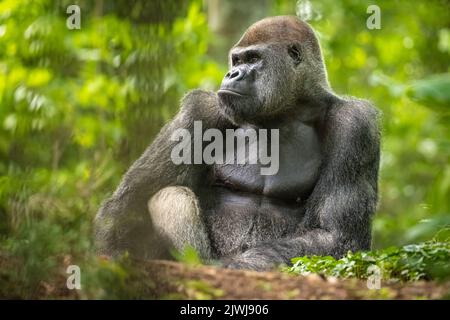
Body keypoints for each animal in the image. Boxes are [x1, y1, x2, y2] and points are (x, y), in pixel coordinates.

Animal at [94, 15, 380, 270]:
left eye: (253, 59)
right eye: (237, 59)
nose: (231, 73)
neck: (287, 111)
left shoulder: (356, 126)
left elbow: (334, 234)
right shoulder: (201, 112)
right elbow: (128, 203)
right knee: (169, 194)